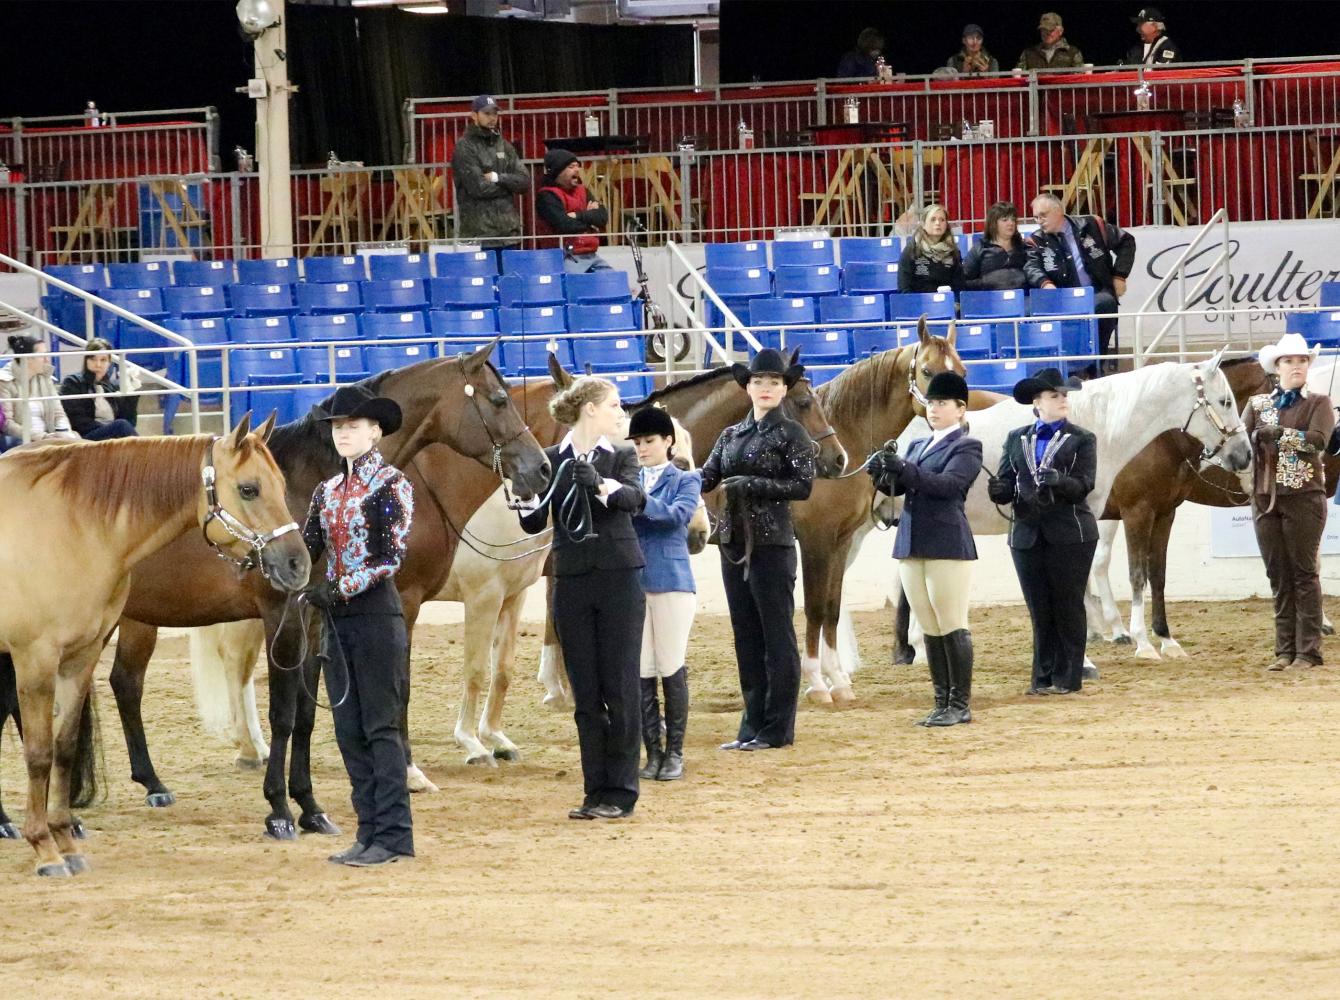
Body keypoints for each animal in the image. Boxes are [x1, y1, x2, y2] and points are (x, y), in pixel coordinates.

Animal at [0, 415, 306, 873]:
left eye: (282, 485)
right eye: (249, 488)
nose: (297, 563)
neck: (70, 524)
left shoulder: (80, 657)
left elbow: (64, 747)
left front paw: (66, 840)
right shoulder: (35, 658)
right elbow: (38, 753)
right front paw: (45, 849)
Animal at [95, 345, 549, 836]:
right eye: (500, 400)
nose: (541, 467)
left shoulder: (315, 618)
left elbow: (306, 713)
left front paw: (310, 806)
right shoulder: (289, 616)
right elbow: (285, 712)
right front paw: (279, 809)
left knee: (124, 683)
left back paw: (151, 783)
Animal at [830, 353, 1248, 672]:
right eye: (1225, 401)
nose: (1243, 454)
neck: (1098, 424)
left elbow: (1143, 577)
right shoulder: (1132, 513)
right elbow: (1120, 578)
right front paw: (1134, 646)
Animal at [1088, 356, 1340, 654]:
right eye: (1274, 396)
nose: (1246, 454)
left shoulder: (1163, 512)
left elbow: (1157, 575)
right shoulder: (1136, 512)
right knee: (1099, 563)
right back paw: (1116, 630)